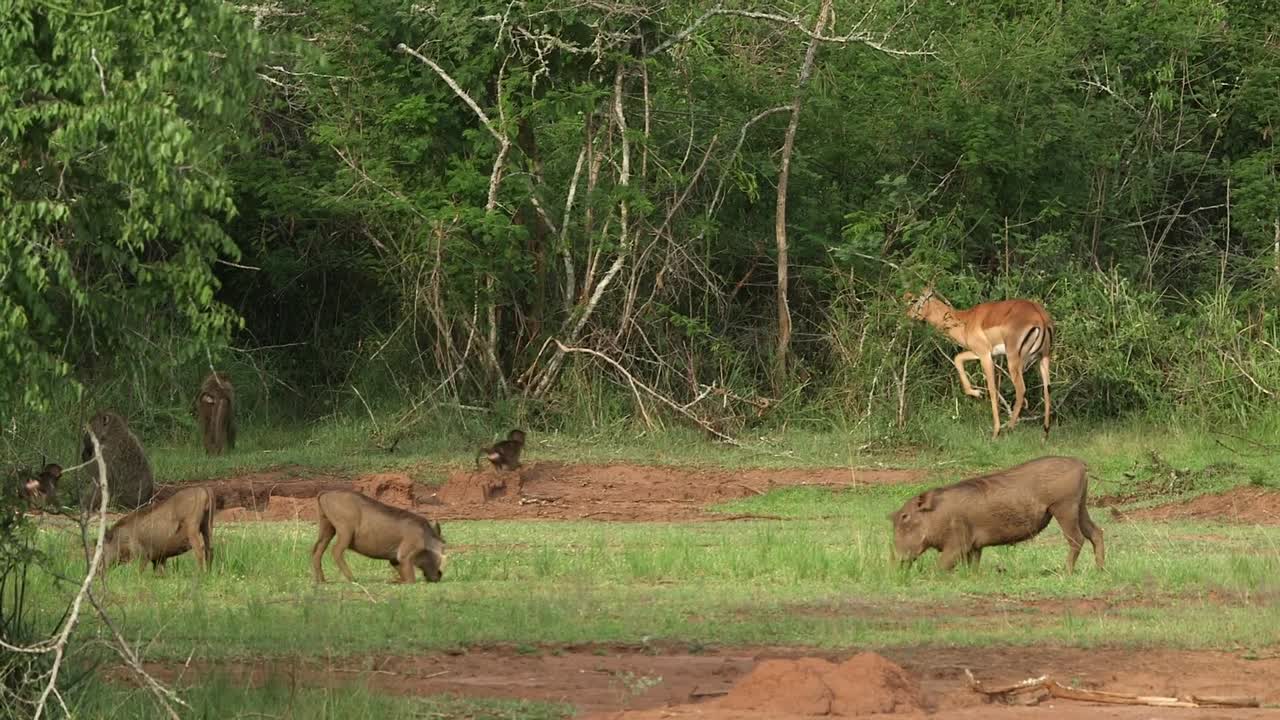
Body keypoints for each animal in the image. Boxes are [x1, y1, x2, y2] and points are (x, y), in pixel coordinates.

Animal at [905, 287, 1054, 439]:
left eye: (916, 301)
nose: (907, 314)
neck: (965, 320)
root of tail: (1040, 318)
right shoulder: (980, 353)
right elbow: (958, 359)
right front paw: (976, 393)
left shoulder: (985, 355)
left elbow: (993, 390)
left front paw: (995, 431)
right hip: (1043, 359)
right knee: (1047, 390)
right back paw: (1045, 435)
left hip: (1014, 360)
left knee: (1021, 390)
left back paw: (1008, 429)